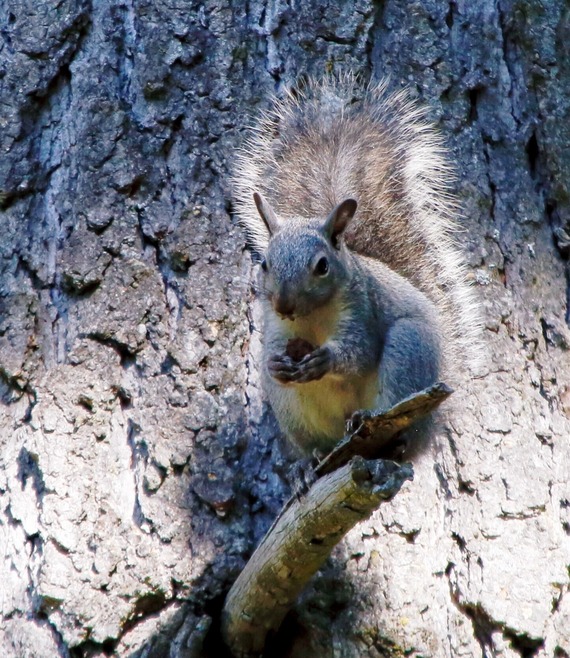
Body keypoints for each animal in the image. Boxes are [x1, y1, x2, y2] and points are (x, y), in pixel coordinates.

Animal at [231, 74, 480, 456]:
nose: (284, 304)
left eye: (322, 266)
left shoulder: (363, 310)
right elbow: (274, 349)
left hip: (408, 351)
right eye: (265, 265)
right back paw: (317, 456)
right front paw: (275, 362)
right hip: (293, 409)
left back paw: (377, 426)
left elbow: (359, 352)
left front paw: (328, 360)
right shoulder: (276, 325)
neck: (312, 317)